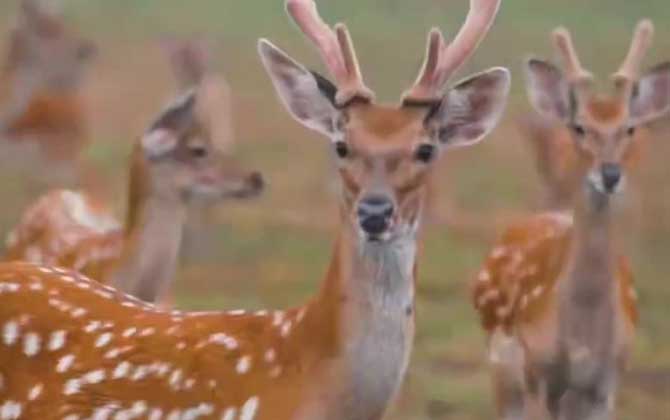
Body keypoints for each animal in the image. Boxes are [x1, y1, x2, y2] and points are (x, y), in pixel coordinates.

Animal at [472, 20, 670, 420]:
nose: (610, 174)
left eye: (629, 128)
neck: (582, 339)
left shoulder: (607, 381)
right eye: (579, 127)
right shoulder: (536, 370)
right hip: (504, 371)